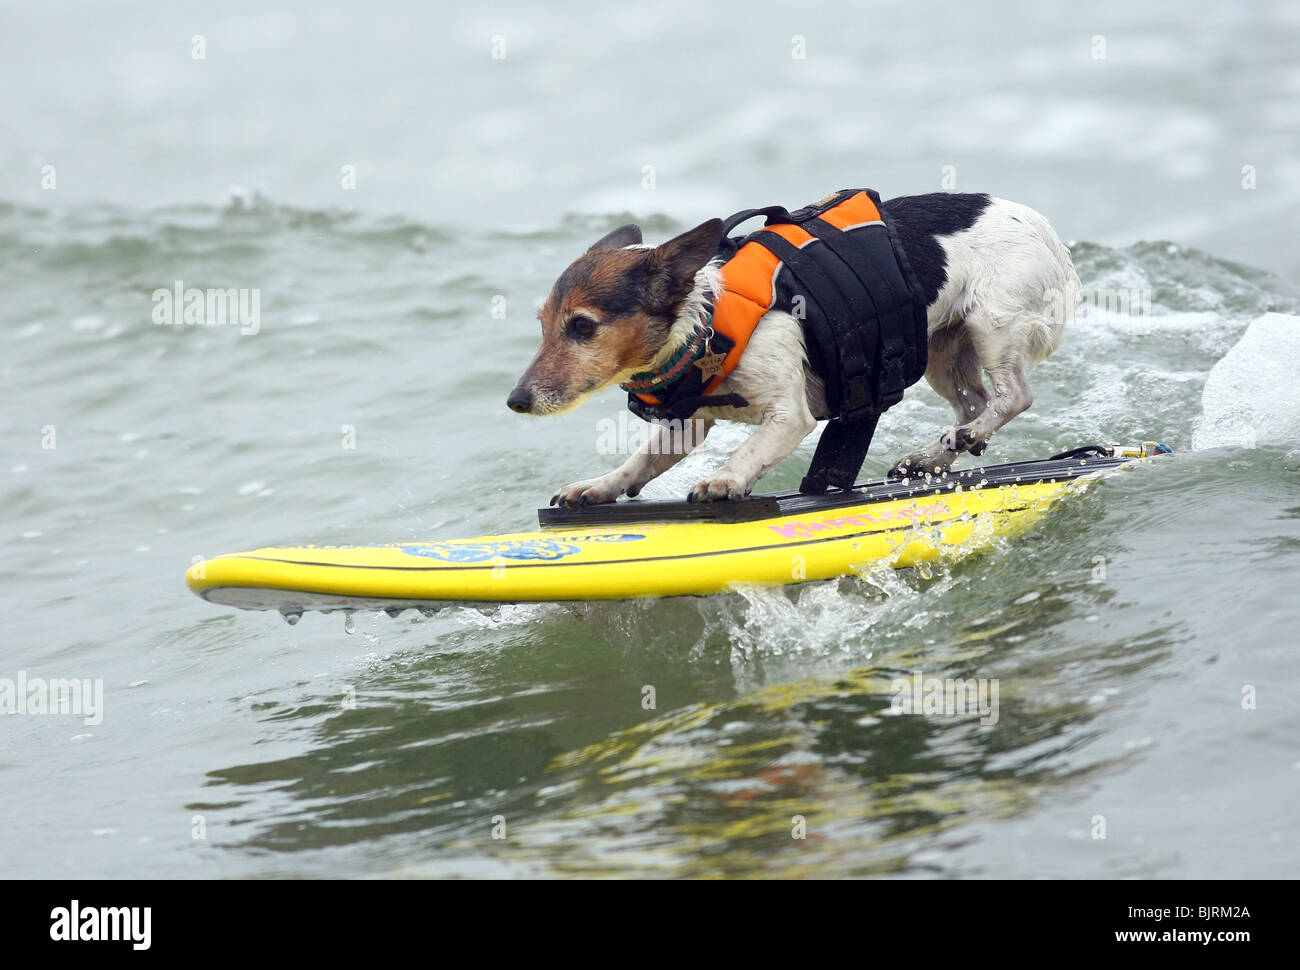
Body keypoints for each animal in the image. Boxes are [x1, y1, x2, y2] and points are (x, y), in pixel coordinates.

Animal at [506, 189, 1076, 507]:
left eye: (582, 327)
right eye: (543, 326)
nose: (515, 401)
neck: (707, 324)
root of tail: (1050, 236)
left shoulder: (787, 414)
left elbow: (750, 449)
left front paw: (725, 479)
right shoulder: (684, 426)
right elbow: (638, 463)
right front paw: (598, 486)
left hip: (991, 323)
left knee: (1012, 397)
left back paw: (964, 436)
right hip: (939, 350)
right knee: (973, 405)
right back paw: (934, 455)